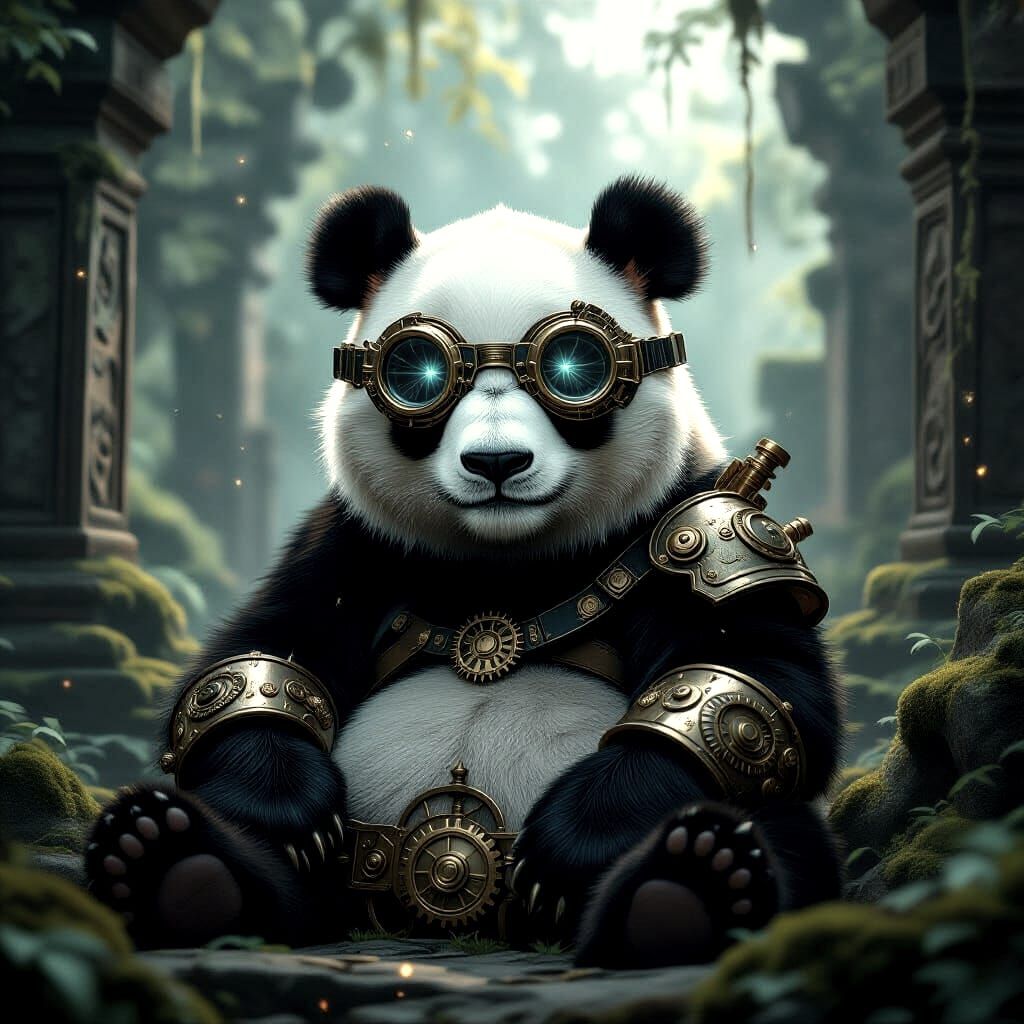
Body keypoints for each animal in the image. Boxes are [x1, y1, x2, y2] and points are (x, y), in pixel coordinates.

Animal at [86, 176, 844, 967]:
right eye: (416, 374)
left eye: (576, 367)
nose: (497, 463)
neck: (503, 563)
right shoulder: (353, 545)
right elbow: (254, 660)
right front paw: (290, 805)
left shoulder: (690, 526)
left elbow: (758, 681)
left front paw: (572, 843)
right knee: (238, 844)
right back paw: (171, 862)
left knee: (778, 825)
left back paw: (690, 885)